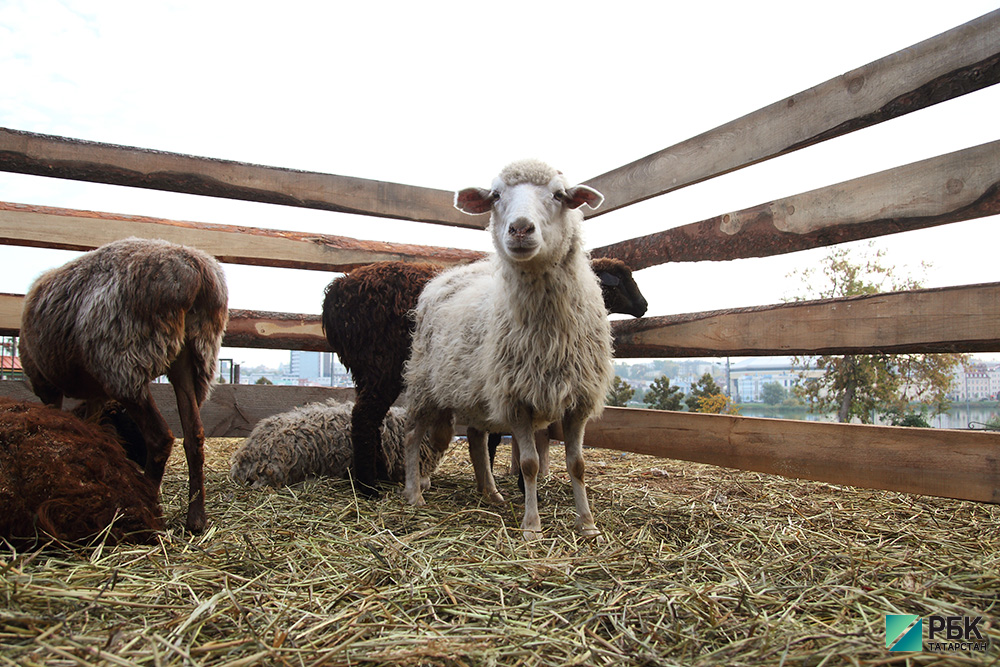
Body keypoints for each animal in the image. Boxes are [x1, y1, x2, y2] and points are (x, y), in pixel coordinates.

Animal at [20, 237, 228, 536]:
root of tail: (197, 273)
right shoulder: (95, 394)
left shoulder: (45, 383)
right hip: (193, 358)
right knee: (194, 436)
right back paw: (196, 518)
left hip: (124, 361)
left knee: (160, 437)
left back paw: (147, 506)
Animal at [402, 159, 612, 540]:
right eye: (496, 195)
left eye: (559, 194)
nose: (519, 229)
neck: (548, 333)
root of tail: (449, 274)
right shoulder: (516, 399)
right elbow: (529, 464)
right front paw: (532, 527)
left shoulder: (579, 399)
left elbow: (577, 464)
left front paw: (587, 524)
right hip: (424, 384)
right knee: (412, 435)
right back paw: (414, 493)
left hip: (478, 392)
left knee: (475, 438)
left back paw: (490, 492)